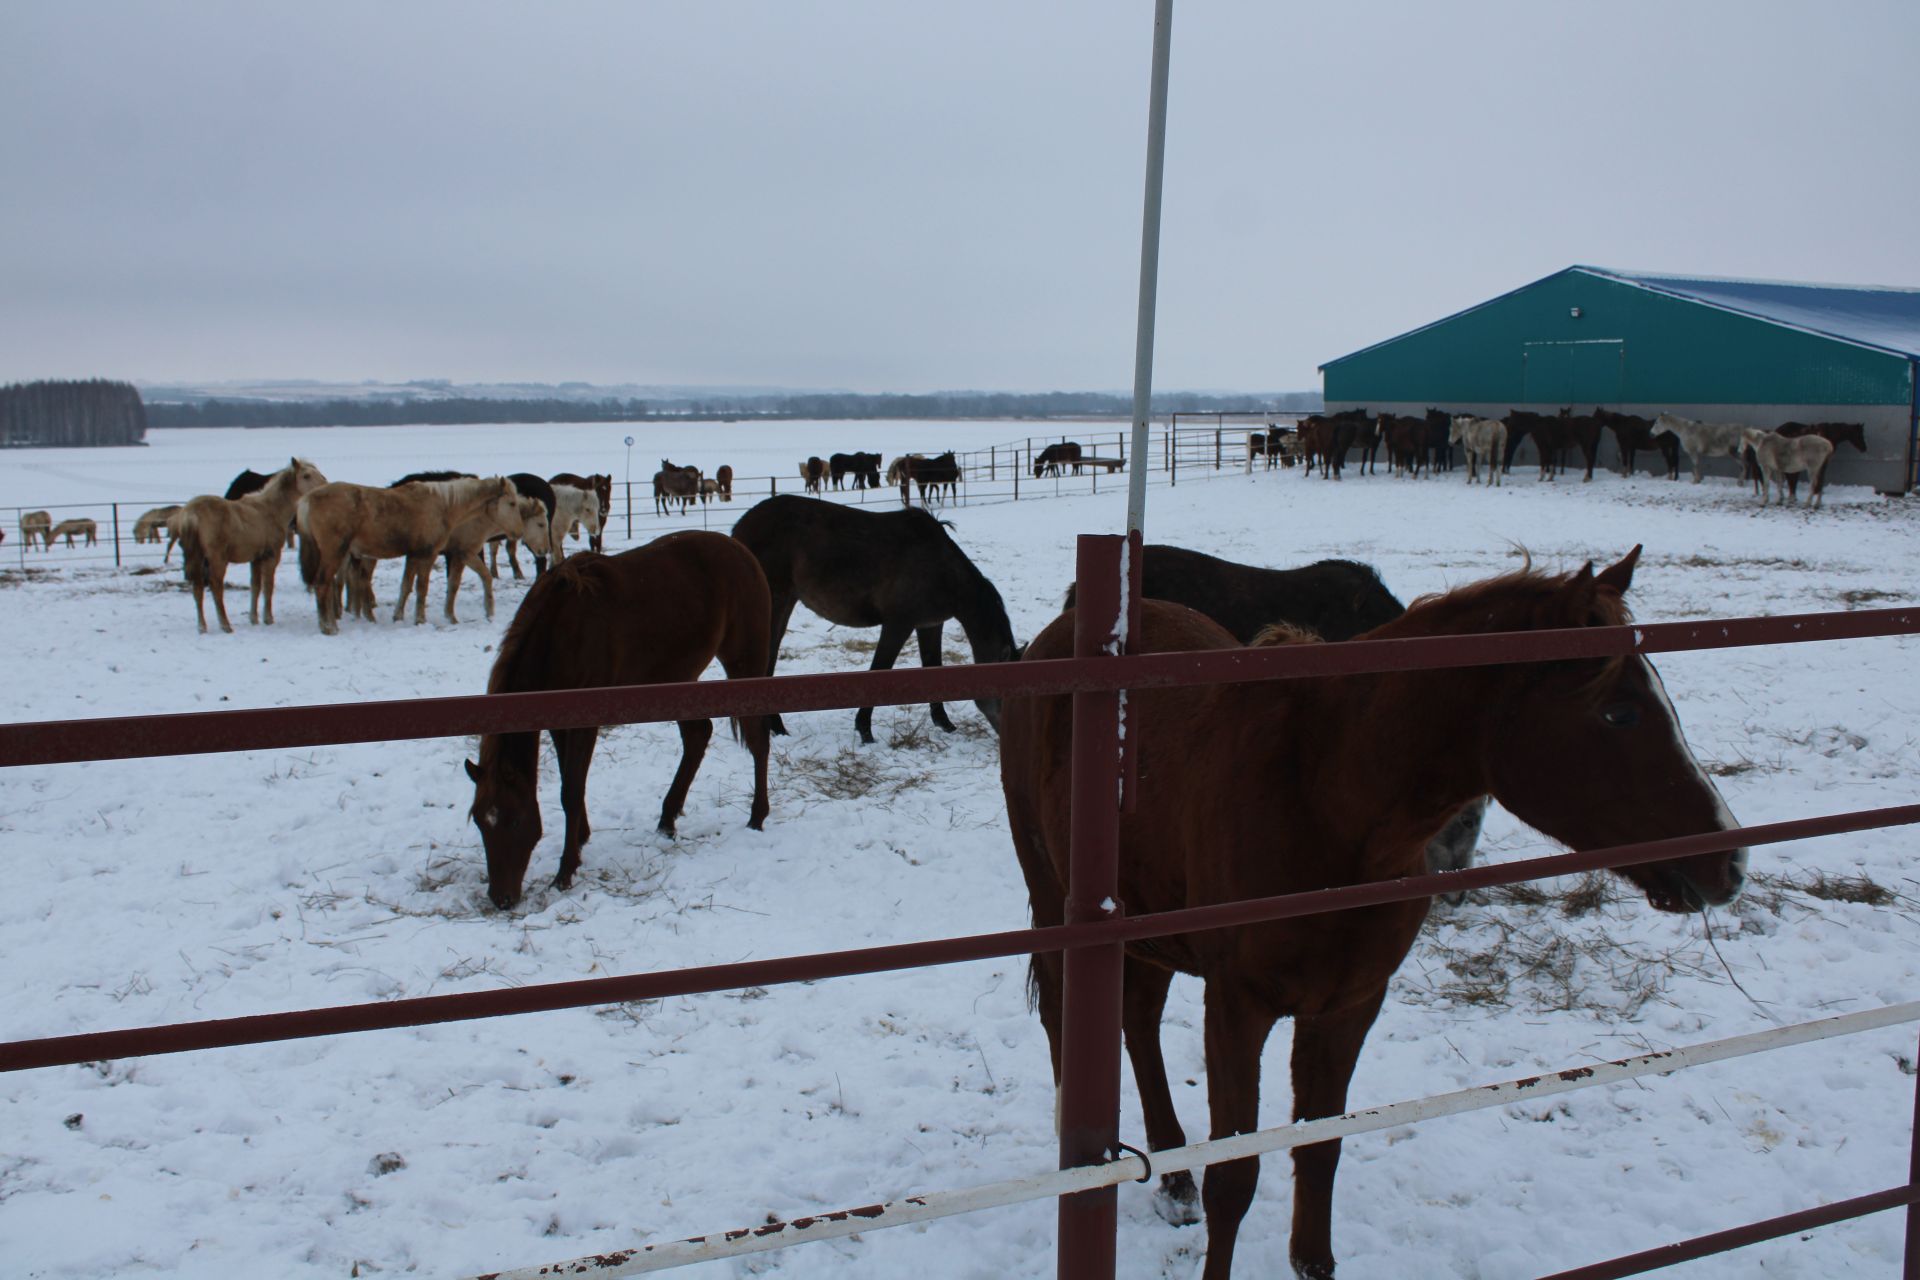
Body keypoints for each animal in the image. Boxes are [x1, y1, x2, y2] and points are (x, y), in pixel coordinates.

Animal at [174, 458, 328, 633]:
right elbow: (268, 586)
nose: (325, 485)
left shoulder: (255, 558)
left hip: (197, 558)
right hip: (217, 559)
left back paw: (202, 627)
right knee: (216, 586)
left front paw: (253, 618)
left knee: (198, 587)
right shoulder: (271, 555)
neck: (270, 510)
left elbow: (255, 586)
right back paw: (225, 624)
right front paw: (268, 618)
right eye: (306, 475)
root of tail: (191, 513)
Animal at [464, 529, 771, 909]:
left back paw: (756, 817)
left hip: (744, 664)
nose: (501, 898)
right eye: (480, 822)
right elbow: (570, 782)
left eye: (516, 821)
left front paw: (565, 871)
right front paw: (581, 838)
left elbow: (571, 790)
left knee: (757, 739)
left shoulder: (585, 722)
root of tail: (741, 551)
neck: (559, 630)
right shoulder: (557, 721)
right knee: (698, 735)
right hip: (678, 676)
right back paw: (667, 819)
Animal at [725, 495, 1021, 744]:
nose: (1009, 736)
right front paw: (865, 730)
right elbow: (880, 669)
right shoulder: (898, 623)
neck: (941, 568)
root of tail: (739, 529)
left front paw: (944, 723)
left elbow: (932, 666)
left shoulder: (929, 624)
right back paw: (774, 727)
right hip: (775, 601)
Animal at [998, 545, 1751, 1280]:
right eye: (1620, 712)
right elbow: (1235, 1180)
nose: (1729, 864)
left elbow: (1319, 1150)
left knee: (1140, 1020)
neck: (1321, 797)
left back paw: (1172, 1175)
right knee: (1067, 1012)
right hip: (1057, 896)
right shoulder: (1237, 1008)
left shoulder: (1349, 1005)